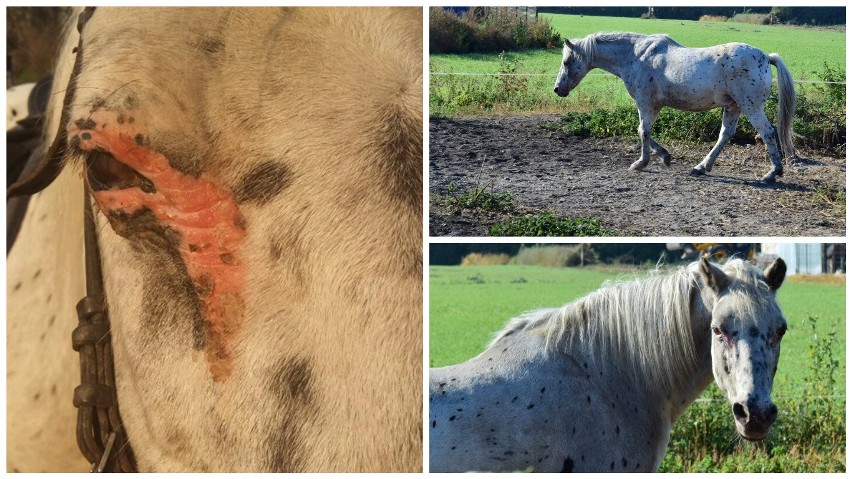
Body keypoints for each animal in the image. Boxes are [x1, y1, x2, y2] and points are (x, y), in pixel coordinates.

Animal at [552, 31, 800, 182]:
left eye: (566, 61)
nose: (557, 89)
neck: (636, 55)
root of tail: (765, 57)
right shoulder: (655, 106)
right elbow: (645, 132)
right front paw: (665, 157)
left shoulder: (645, 102)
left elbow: (643, 131)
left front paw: (641, 163)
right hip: (734, 107)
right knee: (725, 135)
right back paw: (701, 167)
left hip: (751, 107)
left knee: (767, 132)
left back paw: (772, 173)